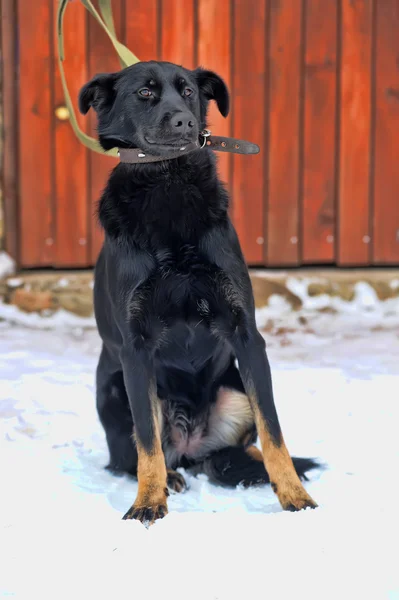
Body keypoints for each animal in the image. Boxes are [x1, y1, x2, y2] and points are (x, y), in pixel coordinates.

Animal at [79, 58, 320, 524]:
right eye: (145, 92)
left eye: (188, 91)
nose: (185, 122)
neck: (167, 181)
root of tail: (190, 445)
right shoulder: (136, 349)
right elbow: (147, 444)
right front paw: (148, 501)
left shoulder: (247, 336)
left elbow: (274, 432)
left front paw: (293, 495)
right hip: (119, 389)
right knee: (134, 455)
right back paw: (168, 478)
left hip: (235, 391)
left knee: (235, 451)